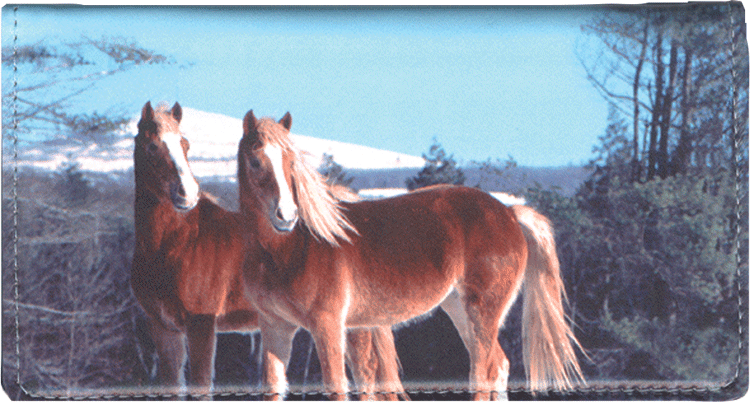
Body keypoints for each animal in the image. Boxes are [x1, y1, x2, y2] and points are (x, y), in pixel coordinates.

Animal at [132, 101, 408, 398]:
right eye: (152, 146)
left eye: (185, 144)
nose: (187, 193)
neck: (178, 242)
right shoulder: (164, 329)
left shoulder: (201, 326)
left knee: (366, 374)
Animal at [238, 109, 584, 398]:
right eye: (256, 162)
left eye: (291, 162)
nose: (286, 216)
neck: (291, 249)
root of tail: (509, 213)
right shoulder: (276, 329)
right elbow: (274, 387)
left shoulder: (328, 326)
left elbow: (337, 385)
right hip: (459, 309)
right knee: (499, 366)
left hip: (482, 311)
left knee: (483, 372)